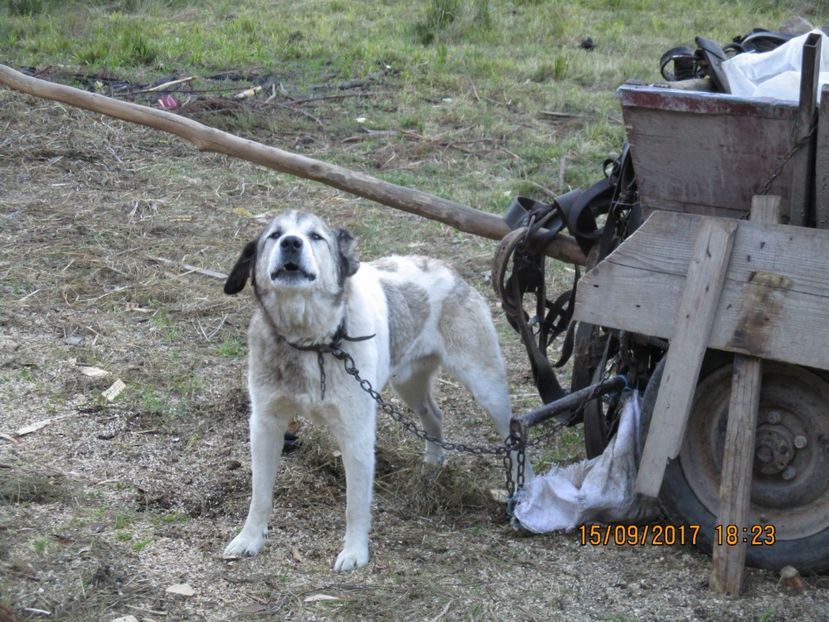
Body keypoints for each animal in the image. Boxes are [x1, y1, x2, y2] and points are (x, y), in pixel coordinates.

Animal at [223, 212, 528, 572]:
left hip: (486, 385)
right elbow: (260, 494)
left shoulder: (356, 436)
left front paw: (355, 552)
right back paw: (431, 466)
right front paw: (250, 538)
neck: (313, 342)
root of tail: (446, 268)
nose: (291, 243)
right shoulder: (265, 425)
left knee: (515, 435)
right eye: (274, 235)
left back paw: (521, 495)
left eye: (315, 236)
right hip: (408, 383)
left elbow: (355, 505)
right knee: (434, 415)